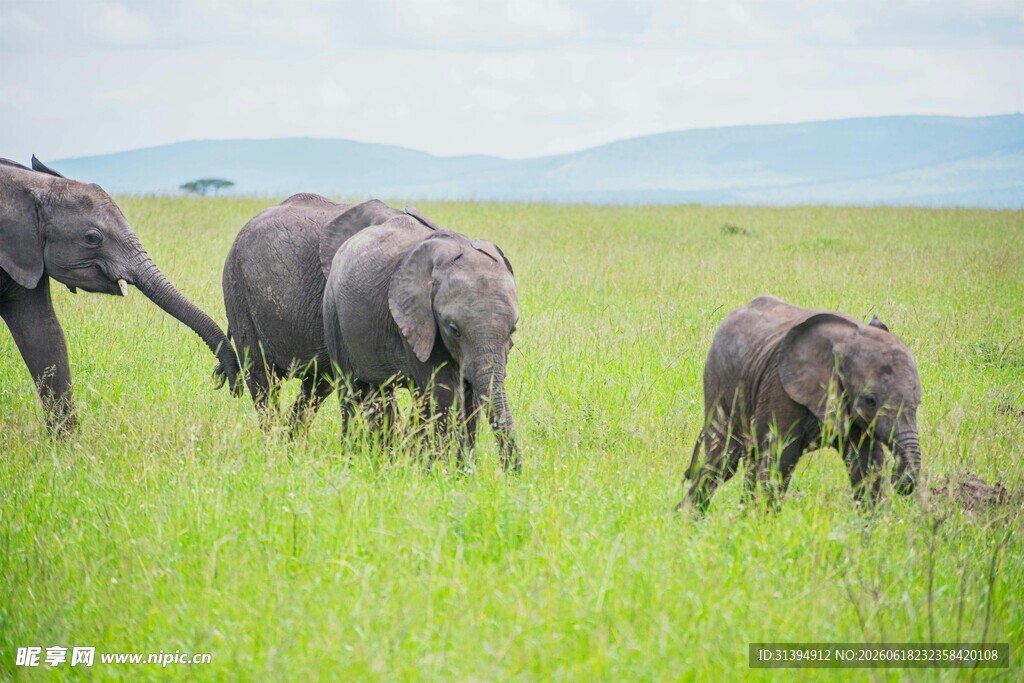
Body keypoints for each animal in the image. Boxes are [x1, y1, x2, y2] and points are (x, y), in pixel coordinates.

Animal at [0, 156, 240, 434]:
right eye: (92, 238)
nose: (225, 378)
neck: (32, 185)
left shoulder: (25, 256)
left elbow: (43, 332)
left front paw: (67, 443)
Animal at [322, 209, 520, 470]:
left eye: (513, 329)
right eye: (453, 329)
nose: (512, 473)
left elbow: (472, 397)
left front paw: (463, 471)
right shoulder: (417, 319)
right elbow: (446, 393)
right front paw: (443, 471)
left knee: (380, 393)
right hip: (332, 312)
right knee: (351, 390)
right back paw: (353, 457)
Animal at [677, 295, 923, 512]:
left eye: (918, 400)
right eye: (870, 400)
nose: (900, 482)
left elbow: (866, 465)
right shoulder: (780, 387)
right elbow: (780, 460)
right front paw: (764, 526)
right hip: (719, 380)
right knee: (723, 460)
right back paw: (686, 519)